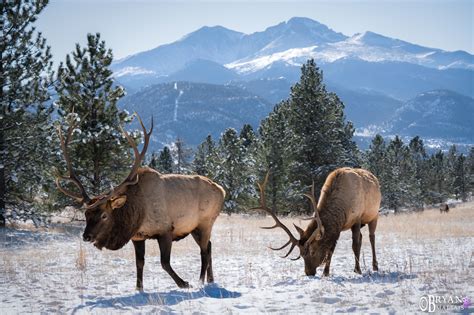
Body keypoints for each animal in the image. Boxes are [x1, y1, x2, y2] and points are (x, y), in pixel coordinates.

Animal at [55, 115, 226, 290]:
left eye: (104, 215)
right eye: (86, 213)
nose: (86, 236)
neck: (136, 214)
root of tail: (222, 190)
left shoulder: (165, 230)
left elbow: (164, 263)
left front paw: (184, 283)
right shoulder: (137, 237)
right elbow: (139, 263)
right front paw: (139, 288)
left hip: (206, 222)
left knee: (204, 251)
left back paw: (200, 281)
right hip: (194, 227)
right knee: (209, 246)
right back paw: (210, 279)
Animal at [252, 168, 382, 276]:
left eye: (313, 251)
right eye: (301, 254)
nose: (308, 273)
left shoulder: (357, 219)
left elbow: (355, 245)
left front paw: (358, 270)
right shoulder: (337, 227)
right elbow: (331, 249)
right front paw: (326, 272)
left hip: (374, 215)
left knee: (371, 238)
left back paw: (375, 266)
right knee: (361, 237)